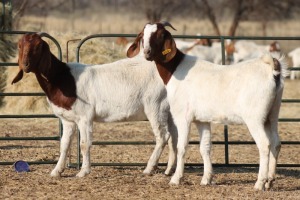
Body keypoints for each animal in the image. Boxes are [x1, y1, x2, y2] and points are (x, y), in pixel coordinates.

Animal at [126, 21, 288, 191]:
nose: (147, 52)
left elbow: (181, 146)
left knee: (264, 144)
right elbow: (205, 148)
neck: (176, 70)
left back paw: (260, 183)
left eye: (161, 34)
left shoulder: (183, 117)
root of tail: (271, 69)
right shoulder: (201, 120)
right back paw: (270, 181)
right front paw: (206, 179)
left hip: (255, 118)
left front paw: (176, 178)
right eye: (142, 36)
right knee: (276, 143)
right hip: (272, 114)